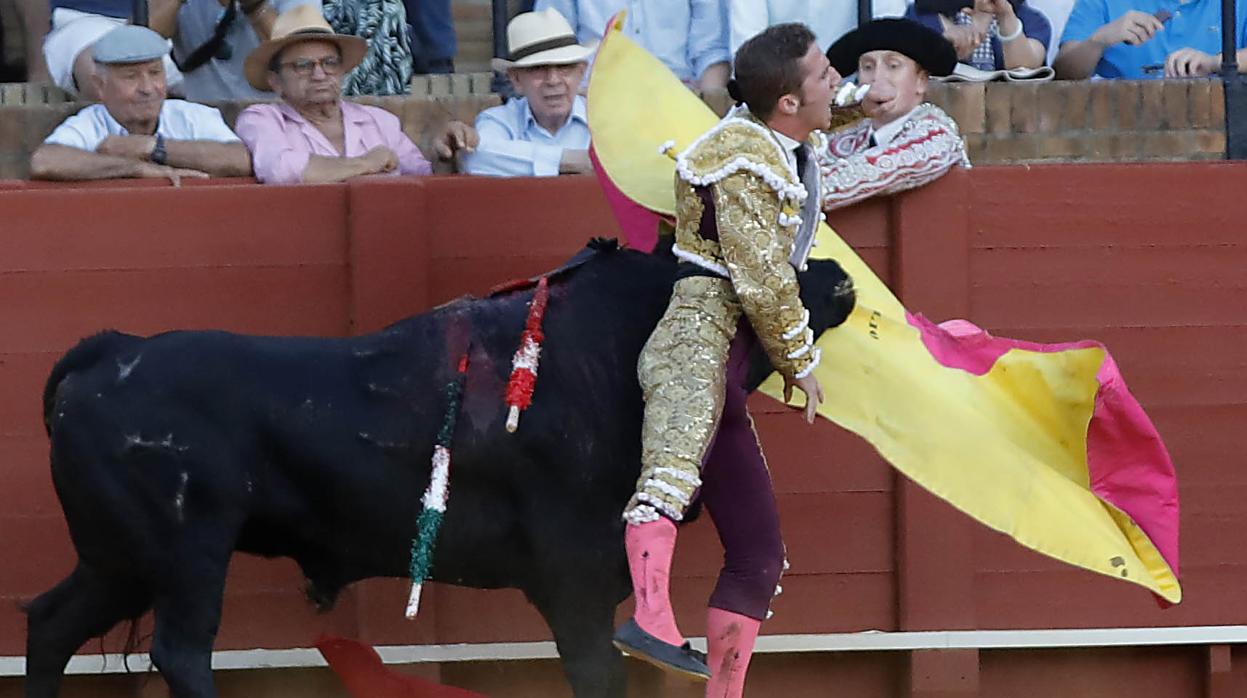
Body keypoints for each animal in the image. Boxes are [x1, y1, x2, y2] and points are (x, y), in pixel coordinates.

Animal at [24, 241, 852, 698]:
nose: (839, 277)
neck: (606, 354)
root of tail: (109, 351)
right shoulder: (576, 585)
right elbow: (598, 676)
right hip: (187, 551)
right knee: (180, 650)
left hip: (120, 558)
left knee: (49, 622)